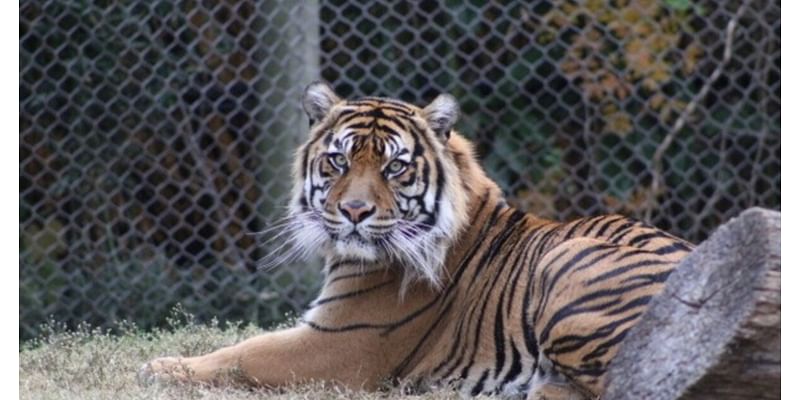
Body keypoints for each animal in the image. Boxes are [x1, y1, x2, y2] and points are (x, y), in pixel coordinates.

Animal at [144, 82, 692, 400]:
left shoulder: (338, 344)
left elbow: (241, 355)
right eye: (339, 161)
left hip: (568, 258)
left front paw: (159, 367)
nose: (355, 212)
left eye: (394, 167)